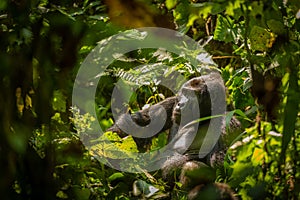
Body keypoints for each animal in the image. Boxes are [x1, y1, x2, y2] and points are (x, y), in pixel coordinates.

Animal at [108, 72, 241, 199]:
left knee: (193, 167)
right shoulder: (171, 102)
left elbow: (225, 167)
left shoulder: (228, 122)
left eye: (193, 96)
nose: (180, 104)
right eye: (185, 93)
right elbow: (138, 125)